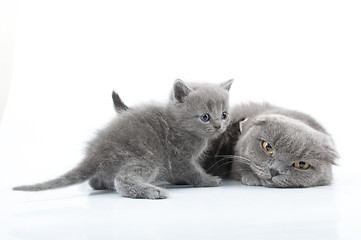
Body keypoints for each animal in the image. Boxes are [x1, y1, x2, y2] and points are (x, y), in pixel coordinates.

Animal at [12, 79, 232, 199]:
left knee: (97, 181)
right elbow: (193, 173)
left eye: (223, 115)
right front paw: (209, 180)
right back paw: (153, 191)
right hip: (146, 159)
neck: (180, 125)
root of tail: (95, 152)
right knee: (122, 180)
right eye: (205, 117)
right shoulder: (179, 157)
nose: (218, 126)